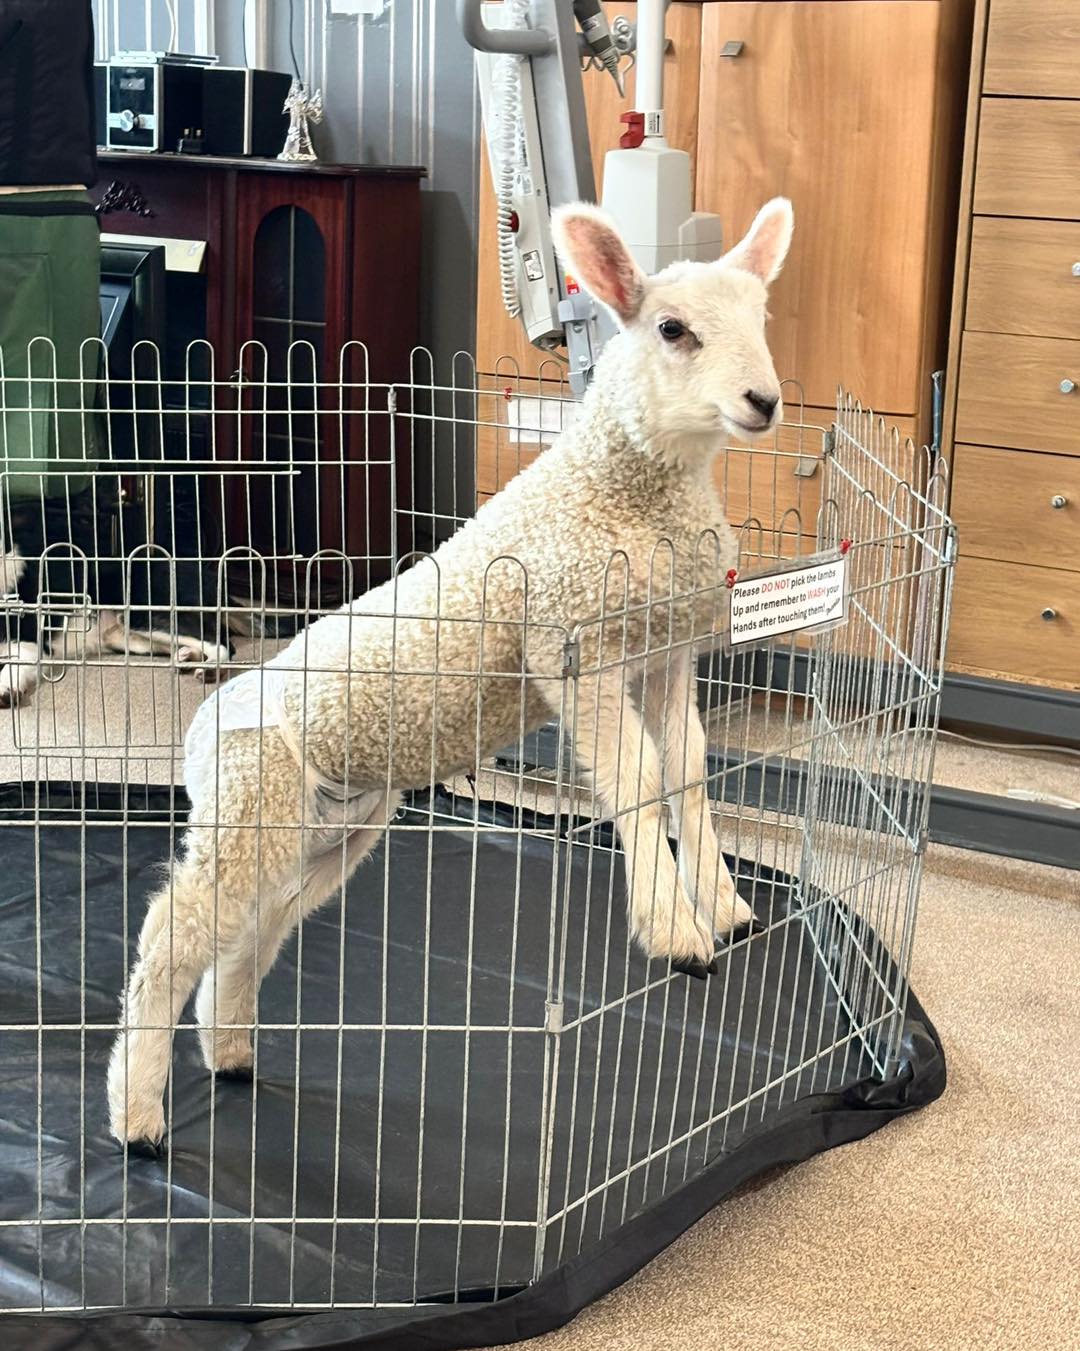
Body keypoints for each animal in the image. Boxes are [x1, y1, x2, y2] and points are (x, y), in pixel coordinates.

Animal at [107, 196, 794, 1152]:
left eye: (762, 317)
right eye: (672, 329)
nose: (763, 400)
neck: (624, 489)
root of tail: (202, 731)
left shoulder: (664, 652)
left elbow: (688, 774)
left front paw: (725, 907)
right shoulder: (571, 645)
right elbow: (637, 780)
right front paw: (674, 930)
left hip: (324, 829)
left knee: (246, 933)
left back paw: (230, 1050)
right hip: (248, 801)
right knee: (170, 938)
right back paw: (137, 1114)